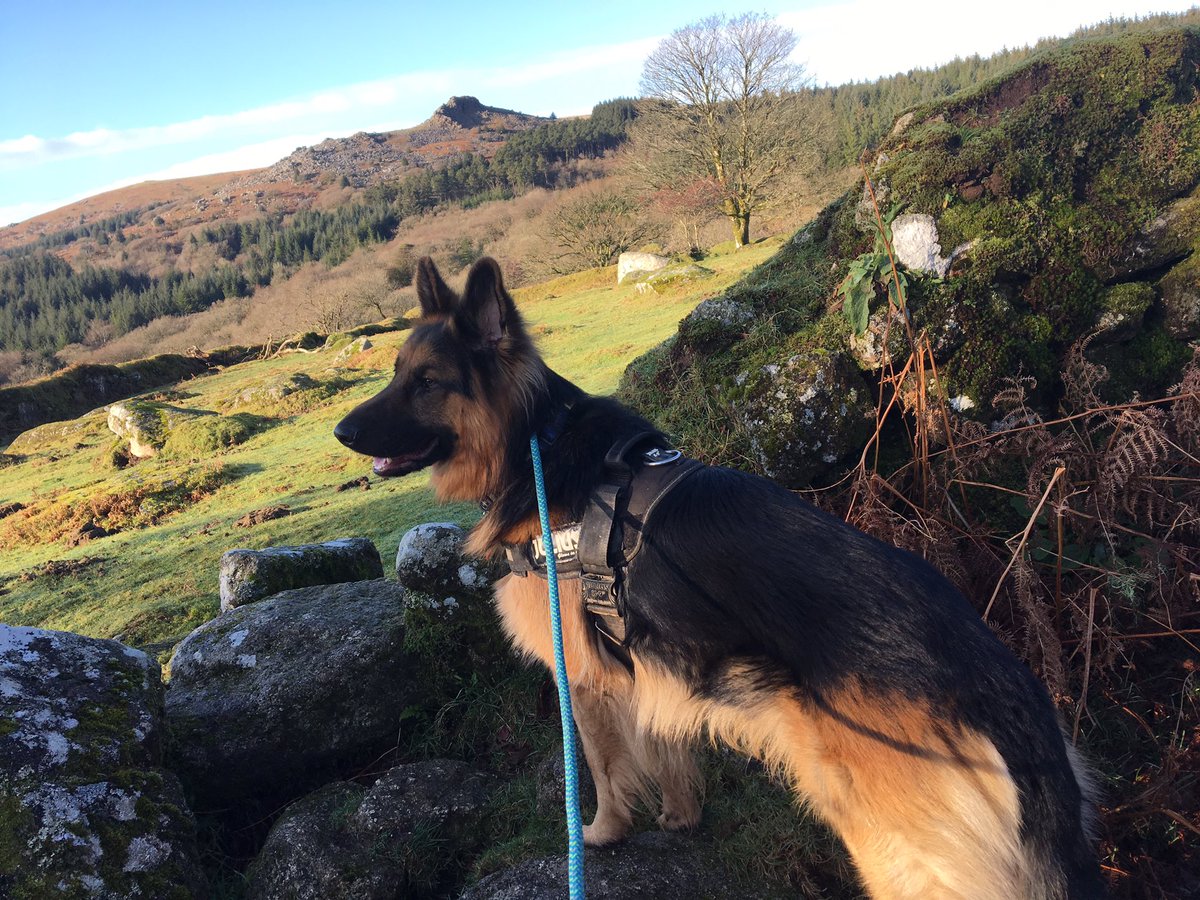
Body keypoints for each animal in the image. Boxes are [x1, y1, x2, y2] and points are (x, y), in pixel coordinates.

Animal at [333, 256, 1099, 897]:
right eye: (395, 372)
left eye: (426, 383)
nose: (342, 434)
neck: (538, 442)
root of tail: (1003, 691)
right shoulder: (650, 669)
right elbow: (666, 750)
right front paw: (679, 817)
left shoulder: (585, 679)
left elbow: (603, 767)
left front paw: (602, 834)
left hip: (894, 850)